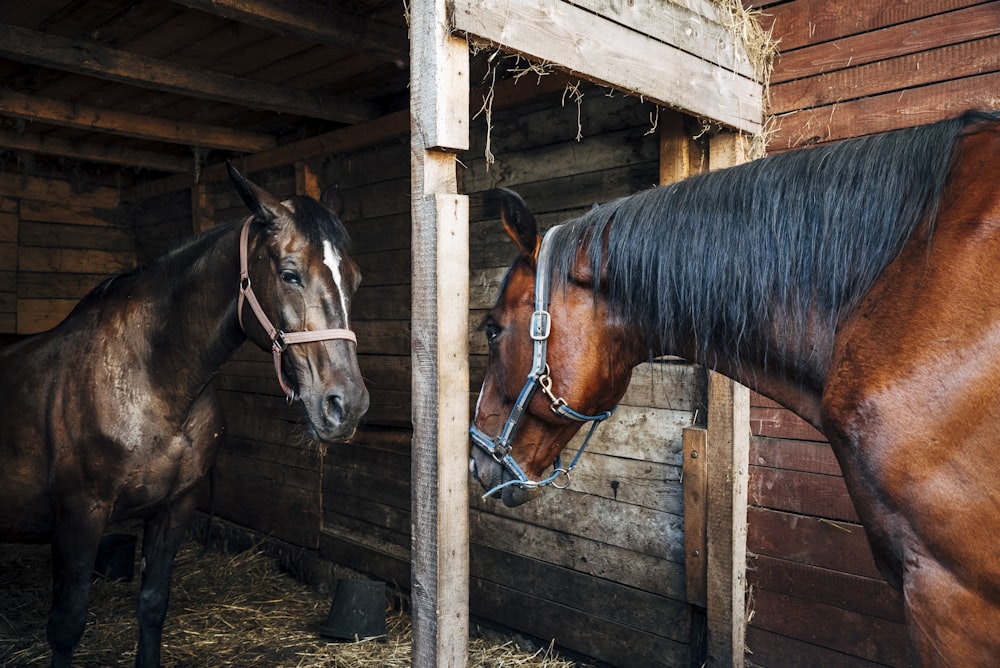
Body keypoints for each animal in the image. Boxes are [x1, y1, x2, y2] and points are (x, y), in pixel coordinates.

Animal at [0, 163, 368, 668]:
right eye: (289, 274)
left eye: (355, 279)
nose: (346, 406)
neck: (153, 381)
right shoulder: (79, 516)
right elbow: (67, 626)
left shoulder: (175, 508)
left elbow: (153, 607)